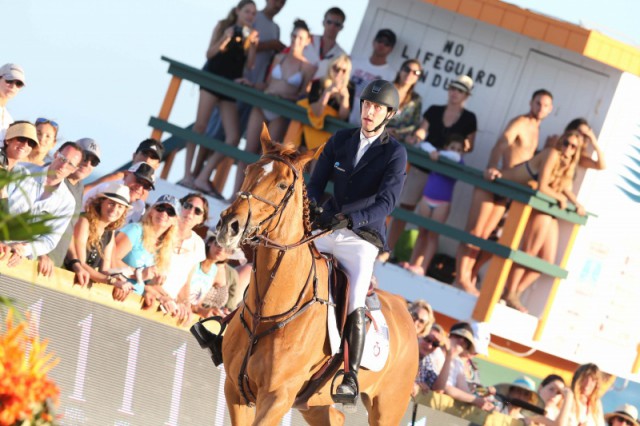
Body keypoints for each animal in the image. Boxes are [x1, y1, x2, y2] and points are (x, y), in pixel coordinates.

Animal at [218, 127, 418, 426]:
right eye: (248, 171)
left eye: (281, 185)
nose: (229, 226)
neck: (268, 309)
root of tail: (405, 310)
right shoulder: (235, 389)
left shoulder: (277, 398)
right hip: (313, 404)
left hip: (388, 408)